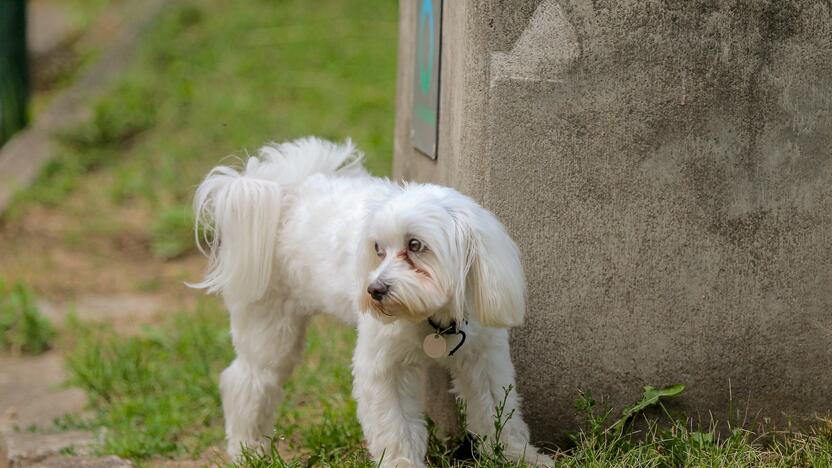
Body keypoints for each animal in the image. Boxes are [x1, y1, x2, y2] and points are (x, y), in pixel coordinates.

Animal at [191, 137, 548, 466]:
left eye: (415, 245)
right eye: (378, 249)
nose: (374, 290)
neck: (431, 316)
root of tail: (286, 191)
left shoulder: (484, 358)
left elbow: (497, 413)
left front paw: (518, 456)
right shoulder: (384, 368)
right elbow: (396, 426)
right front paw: (402, 463)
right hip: (270, 326)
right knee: (246, 381)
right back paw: (247, 448)